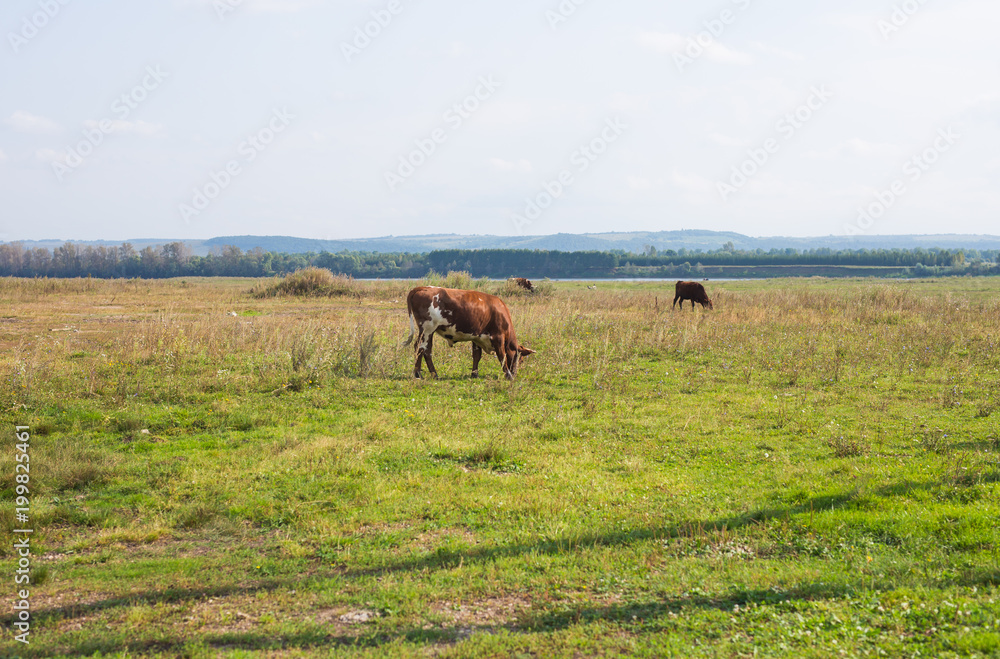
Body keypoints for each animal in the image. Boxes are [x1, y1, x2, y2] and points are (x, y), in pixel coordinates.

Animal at [403, 286, 535, 380]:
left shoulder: (477, 338)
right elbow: (502, 356)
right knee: (422, 348)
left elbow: (476, 356)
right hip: (428, 329)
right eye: (520, 359)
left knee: (423, 349)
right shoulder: (498, 337)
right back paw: (425, 374)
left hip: (428, 331)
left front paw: (474, 374)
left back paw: (426, 374)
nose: (515, 373)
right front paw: (508, 375)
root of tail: (423, 287)